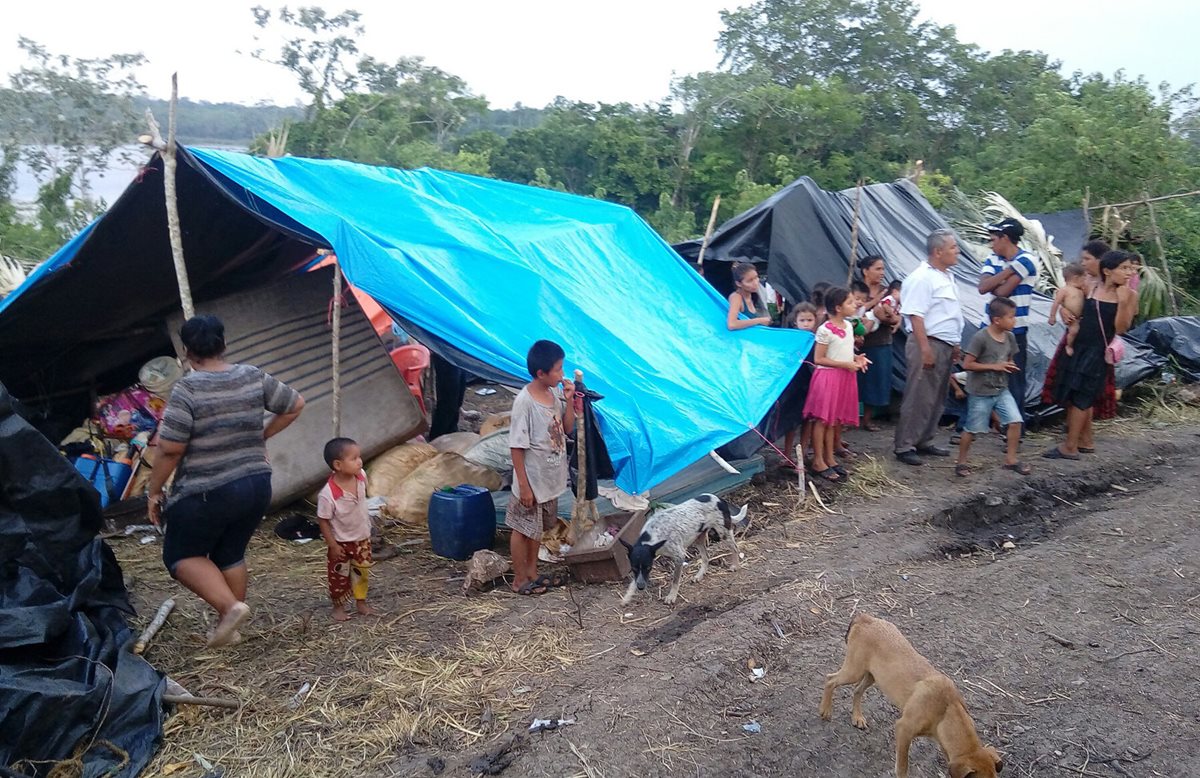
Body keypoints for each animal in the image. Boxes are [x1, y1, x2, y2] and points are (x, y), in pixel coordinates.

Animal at [816, 614, 1003, 778]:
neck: (947, 709)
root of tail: (865, 618)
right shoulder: (903, 729)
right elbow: (902, 766)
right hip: (854, 670)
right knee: (830, 679)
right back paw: (825, 710)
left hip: (873, 676)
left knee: (857, 691)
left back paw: (857, 717)